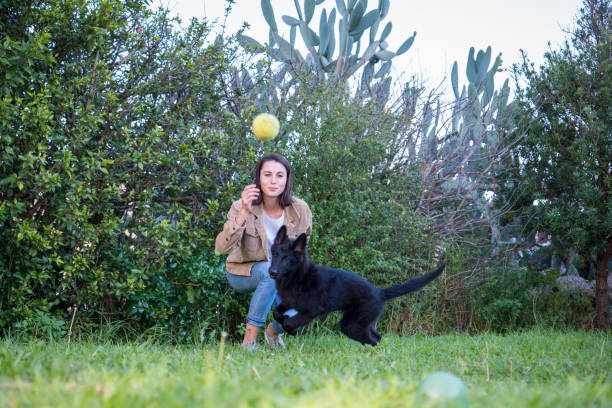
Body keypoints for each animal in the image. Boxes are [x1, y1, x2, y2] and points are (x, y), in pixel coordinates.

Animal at [268, 225, 444, 346]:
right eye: (275, 255)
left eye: (286, 259)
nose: (272, 272)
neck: (297, 276)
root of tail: (380, 292)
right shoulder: (289, 302)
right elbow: (276, 313)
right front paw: (283, 318)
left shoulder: (312, 311)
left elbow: (289, 323)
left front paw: (290, 329)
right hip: (363, 323)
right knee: (377, 337)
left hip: (351, 325)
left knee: (373, 341)